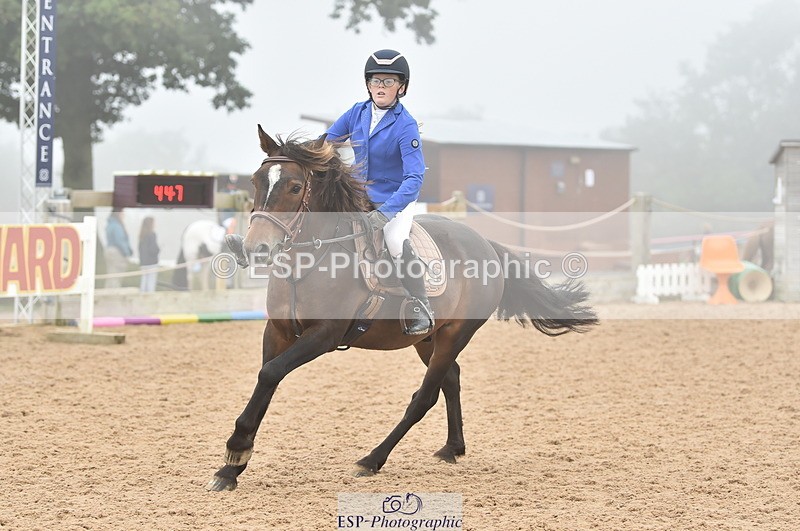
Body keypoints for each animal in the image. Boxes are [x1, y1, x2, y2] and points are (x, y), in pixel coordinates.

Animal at [206, 125, 599, 491]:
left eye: (293, 187)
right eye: (256, 181)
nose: (256, 249)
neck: (308, 263)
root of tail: (485, 244)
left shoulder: (324, 335)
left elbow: (271, 373)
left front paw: (236, 451)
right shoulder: (278, 332)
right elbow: (266, 380)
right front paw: (231, 468)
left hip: (456, 334)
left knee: (424, 396)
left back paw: (372, 459)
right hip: (428, 339)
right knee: (451, 379)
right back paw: (452, 449)